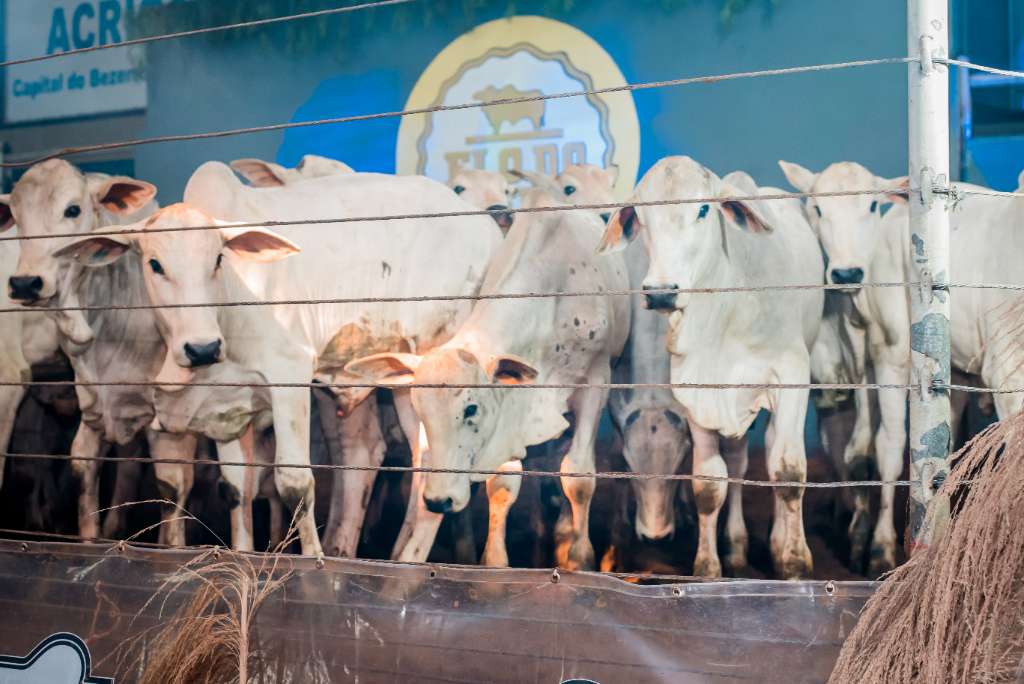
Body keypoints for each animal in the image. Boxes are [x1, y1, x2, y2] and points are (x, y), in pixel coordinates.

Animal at [348, 184, 626, 569]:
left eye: (470, 409)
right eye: (420, 411)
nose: (437, 501)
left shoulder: (596, 380)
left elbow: (578, 475)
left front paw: (579, 558)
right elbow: (502, 483)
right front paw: (494, 562)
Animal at [598, 156, 823, 577]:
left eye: (703, 209)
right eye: (642, 216)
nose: (661, 292)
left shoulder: (790, 378)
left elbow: (788, 473)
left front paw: (794, 563)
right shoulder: (698, 393)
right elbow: (708, 484)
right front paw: (707, 566)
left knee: (772, 450)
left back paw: (777, 542)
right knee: (737, 461)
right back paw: (736, 547)